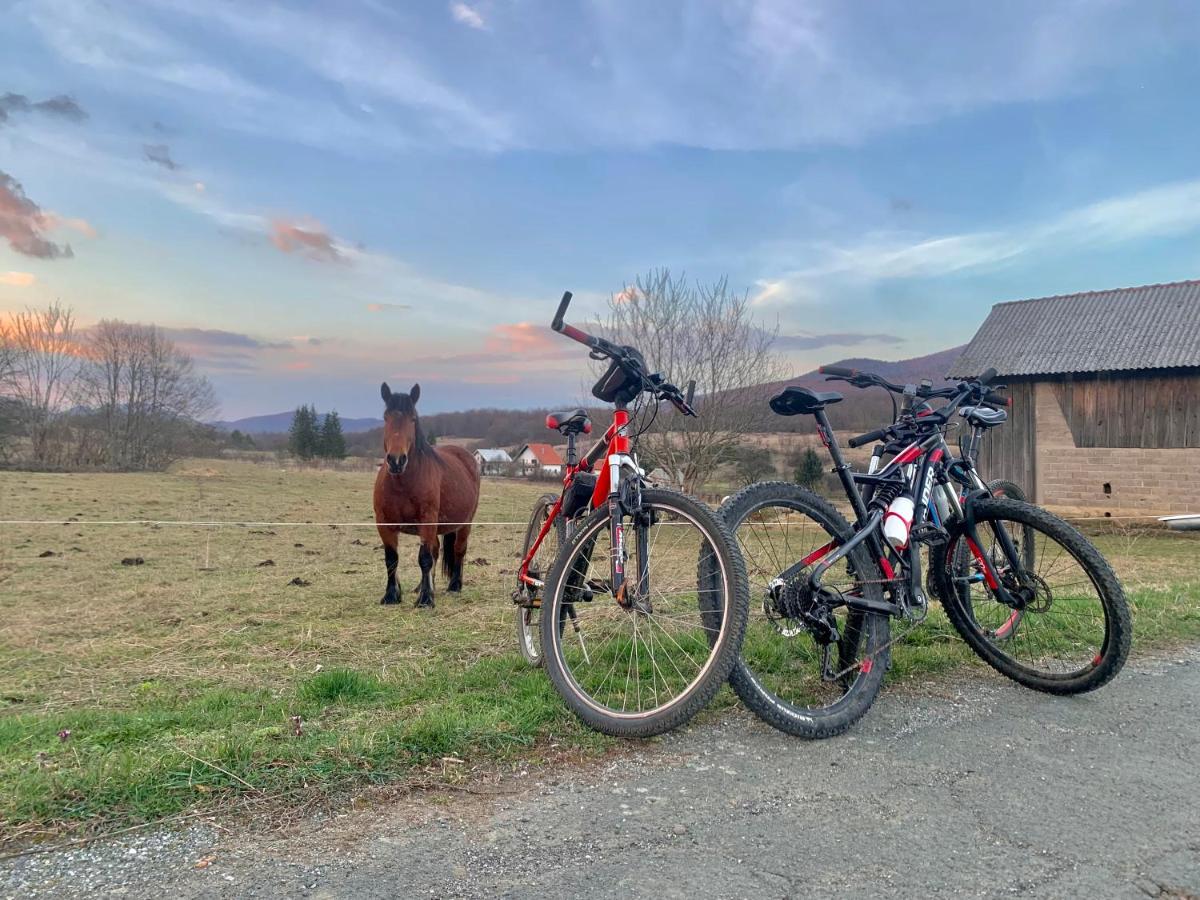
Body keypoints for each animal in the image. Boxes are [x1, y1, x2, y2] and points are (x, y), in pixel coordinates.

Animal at [376, 384, 484, 609]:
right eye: (386, 417)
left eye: (412, 419)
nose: (396, 460)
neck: (401, 483)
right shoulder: (384, 524)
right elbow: (391, 559)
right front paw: (392, 596)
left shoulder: (427, 521)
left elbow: (424, 558)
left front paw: (426, 600)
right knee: (435, 551)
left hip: (464, 523)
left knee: (459, 550)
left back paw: (454, 585)